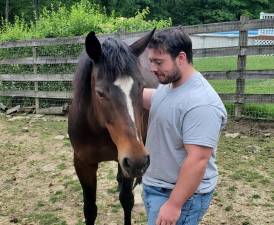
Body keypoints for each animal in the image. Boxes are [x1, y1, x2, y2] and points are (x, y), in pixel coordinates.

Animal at [67, 29, 157, 225]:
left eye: (141, 87)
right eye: (100, 93)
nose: (137, 160)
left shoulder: (128, 156)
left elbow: (127, 200)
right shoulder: (83, 164)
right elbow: (90, 209)